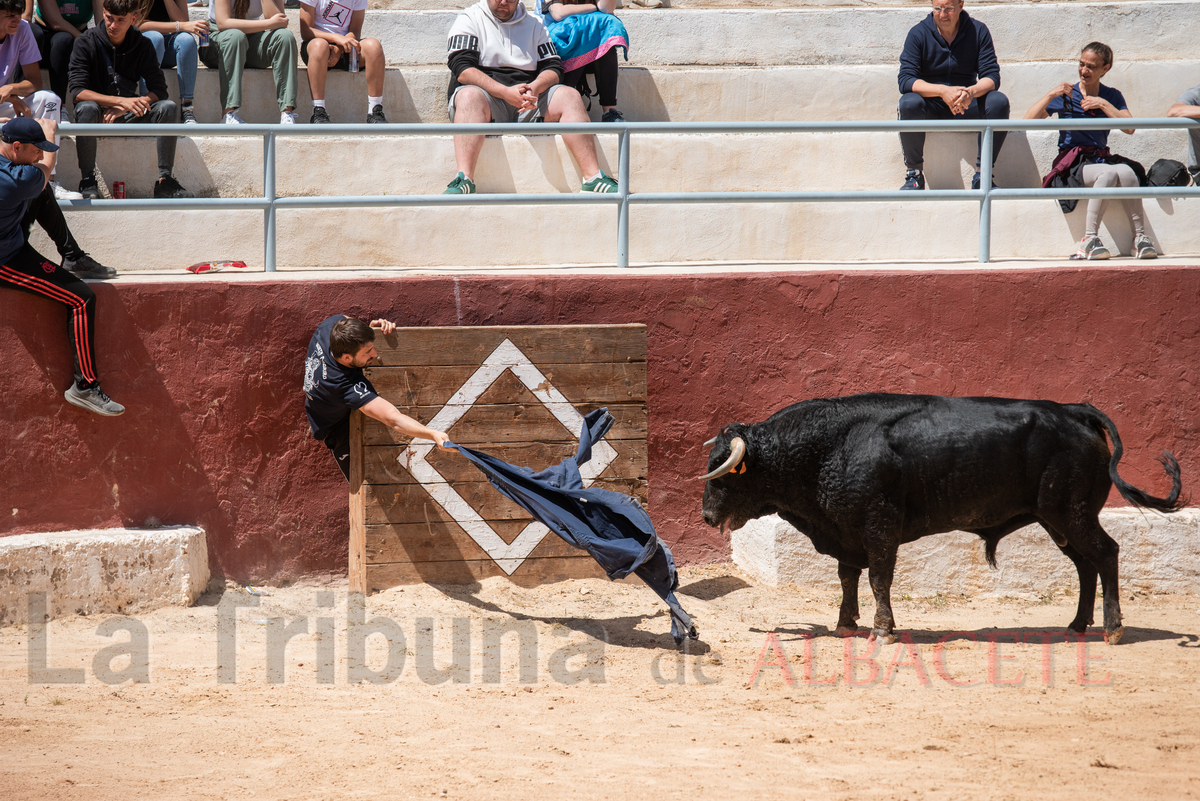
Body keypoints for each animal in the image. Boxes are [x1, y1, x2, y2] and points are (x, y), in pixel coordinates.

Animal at [700, 393, 1185, 642]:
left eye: (724, 474)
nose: (705, 515)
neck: (827, 446)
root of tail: (1075, 411)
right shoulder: (847, 532)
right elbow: (847, 576)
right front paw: (845, 622)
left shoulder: (879, 527)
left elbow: (878, 578)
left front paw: (882, 630)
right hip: (1057, 521)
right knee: (1085, 565)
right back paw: (1078, 624)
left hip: (1073, 514)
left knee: (1106, 554)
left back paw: (1112, 629)